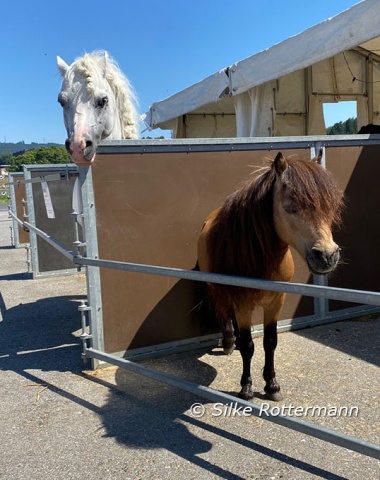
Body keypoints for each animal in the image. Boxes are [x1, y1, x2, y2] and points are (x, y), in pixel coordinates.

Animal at [199, 151, 344, 402]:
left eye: (330, 207)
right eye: (290, 207)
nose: (327, 256)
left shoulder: (276, 301)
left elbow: (270, 342)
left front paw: (272, 385)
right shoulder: (243, 303)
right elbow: (249, 345)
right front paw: (246, 387)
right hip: (217, 287)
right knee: (225, 312)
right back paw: (229, 341)